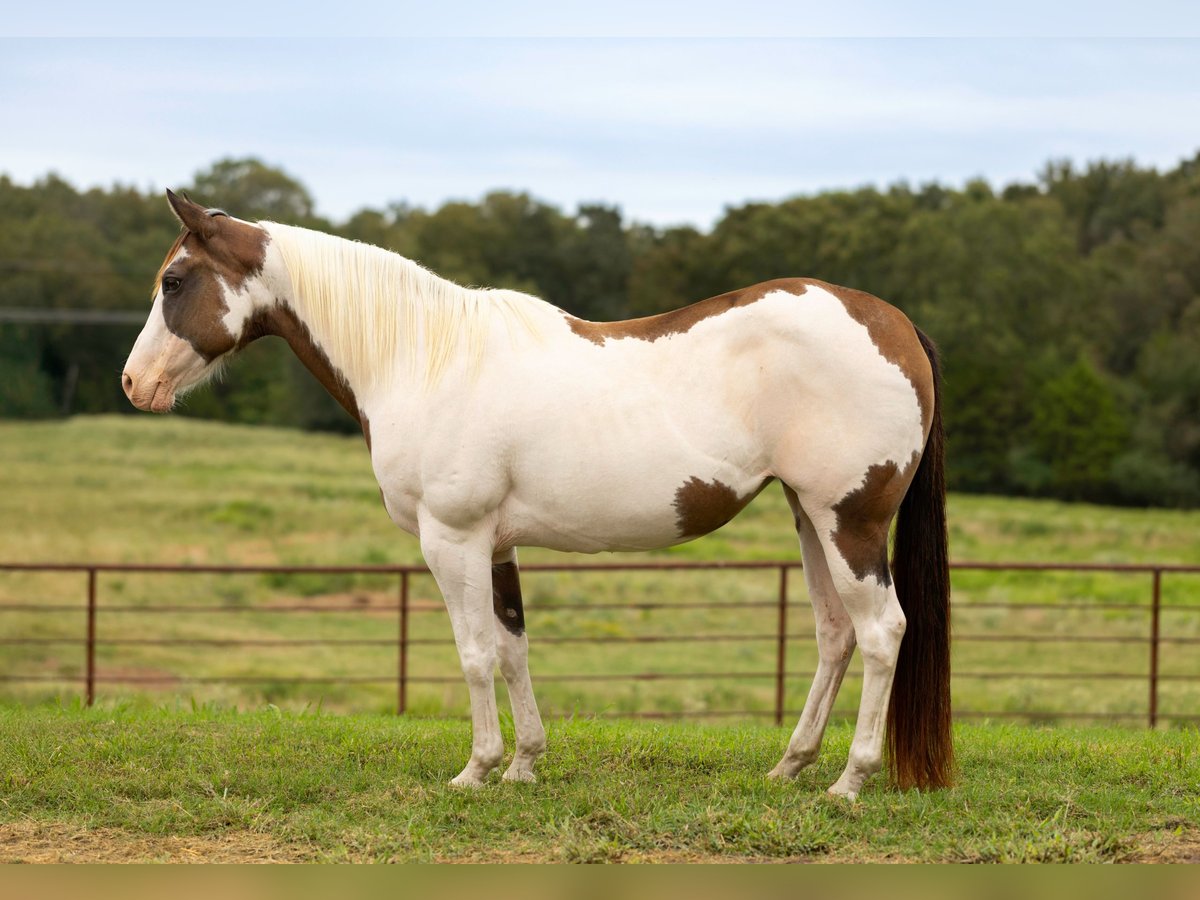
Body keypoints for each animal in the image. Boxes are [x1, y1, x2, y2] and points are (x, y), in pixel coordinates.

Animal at [122, 190, 952, 798]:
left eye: (174, 281)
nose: (133, 384)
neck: (422, 359)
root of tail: (895, 322)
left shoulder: (451, 537)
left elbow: (474, 653)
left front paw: (476, 770)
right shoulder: (496, 545)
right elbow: (514, 648)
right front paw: (524, 765)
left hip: (850, 521)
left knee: (881, 633)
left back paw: (849, 782)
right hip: (810, 518)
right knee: (835, 634)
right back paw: (789, 765)